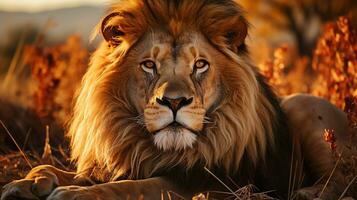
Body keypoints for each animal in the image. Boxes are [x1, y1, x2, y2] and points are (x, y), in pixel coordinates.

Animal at [0, 0, 350, 199]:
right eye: (149, 65)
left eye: (200, 65)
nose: (175, 102)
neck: (149, 147)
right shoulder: (125, 162)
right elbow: (53, 166)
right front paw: (27, 183)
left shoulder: (206, 182)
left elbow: (134, 187)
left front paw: (72, 194)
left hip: (305, 108)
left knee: (342, 178)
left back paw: (308, 193)